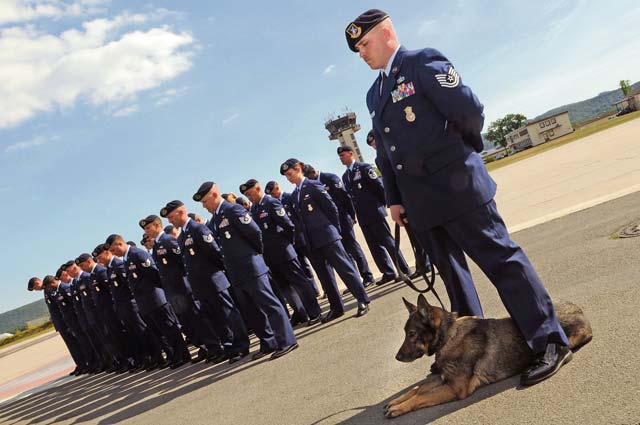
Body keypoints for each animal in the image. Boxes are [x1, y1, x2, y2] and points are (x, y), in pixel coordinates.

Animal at [382, 294, 592, 418]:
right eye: (405, 333)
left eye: (412, 334)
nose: (397, 357)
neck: (449, 335)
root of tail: (577, 307)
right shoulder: (444, 378)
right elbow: (418, 388)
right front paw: (397, 401)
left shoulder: (456, 388)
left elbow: (421, 396)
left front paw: (400, 407)